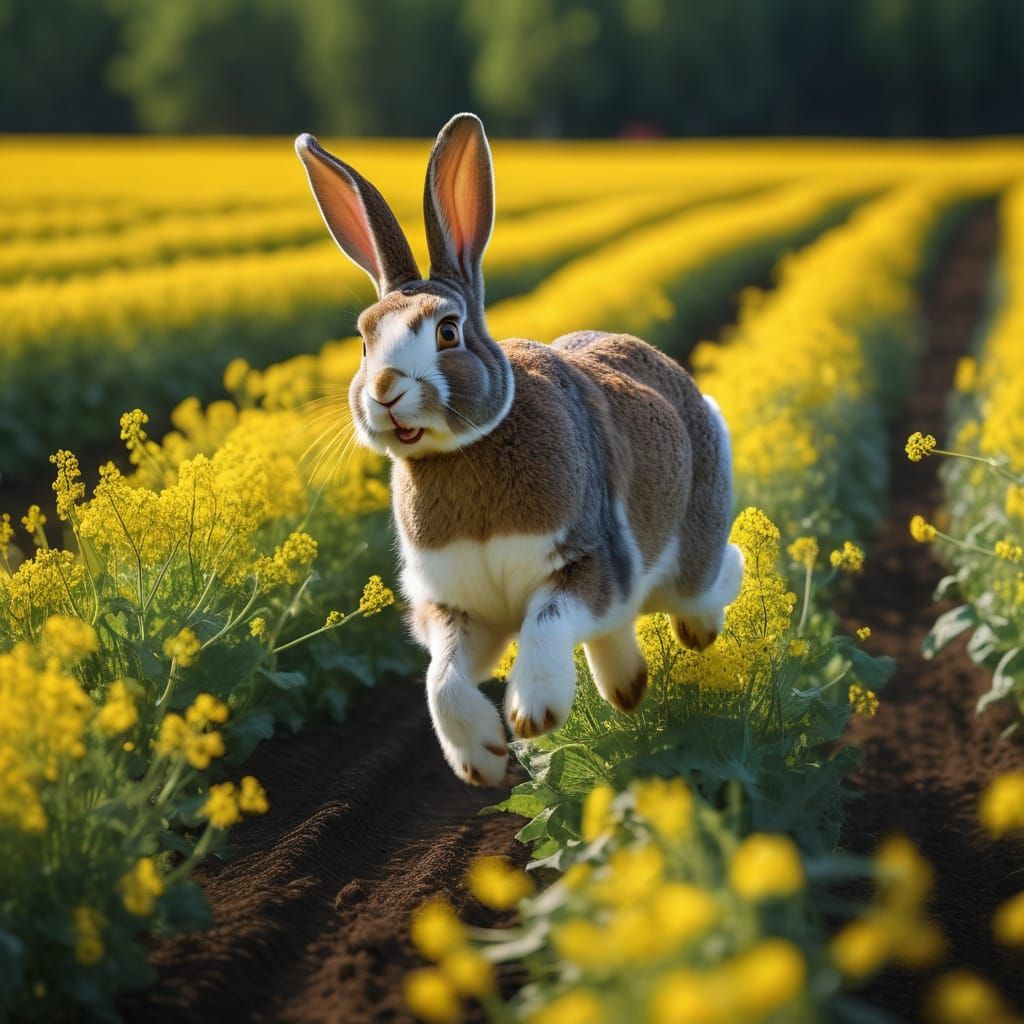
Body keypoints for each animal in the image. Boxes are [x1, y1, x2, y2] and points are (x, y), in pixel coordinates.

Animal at [295, 113, 743, 786]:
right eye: (364, 340)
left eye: (447, 331)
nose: (384, 390)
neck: (465, 449)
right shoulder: (459, 610)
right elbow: (441, 679)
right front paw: (481, 758)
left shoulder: (582, 561)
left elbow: (547, 623)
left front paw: (533, 714)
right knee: (616, 631)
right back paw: (628, 690)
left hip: (689, 549)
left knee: (711, 578)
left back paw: (699, 630)